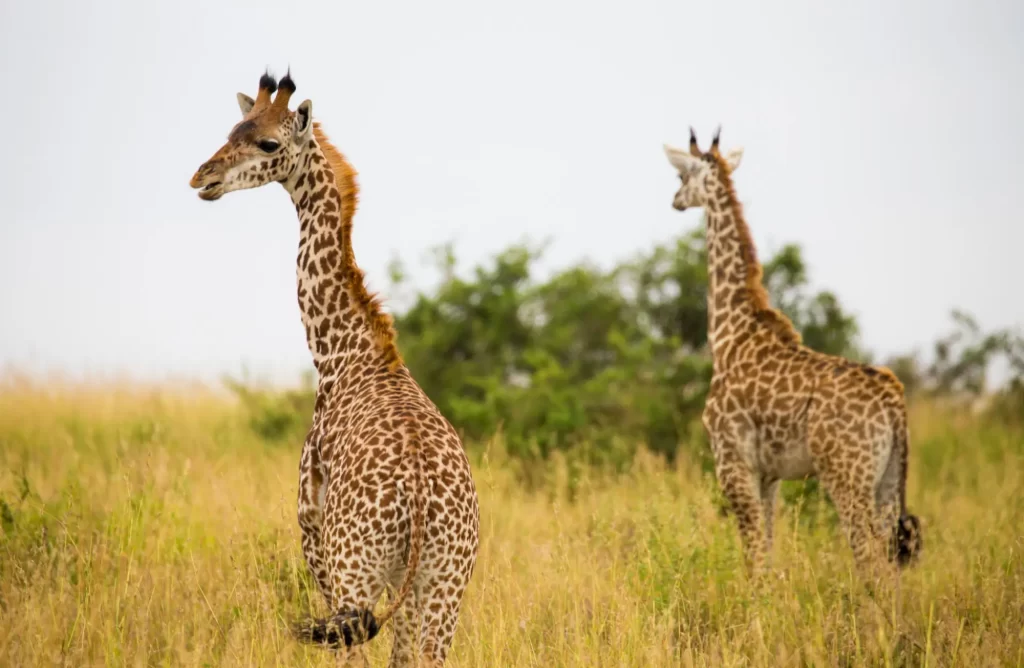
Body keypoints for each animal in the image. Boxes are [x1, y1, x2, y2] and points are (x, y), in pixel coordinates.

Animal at [191, 70, 479, 663]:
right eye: (232, 129)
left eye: (268, 144)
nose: (202, 177)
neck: (344, 355)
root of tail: (421, 504)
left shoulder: (310, 528)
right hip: (445, 582)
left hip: (356, 574)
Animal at [659, 128, 925, 581]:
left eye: (682, 175)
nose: (674, 200)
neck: (729, 334)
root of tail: (894, 401)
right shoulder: (770, 475)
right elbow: (767, 553)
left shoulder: (733, 464)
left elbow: (753, 557)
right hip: (888, 481)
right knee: (891, 568)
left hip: (847, 478)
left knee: (870, 561)